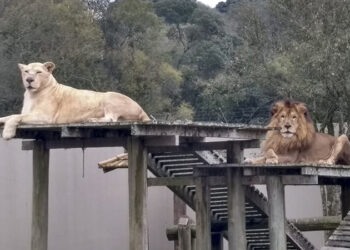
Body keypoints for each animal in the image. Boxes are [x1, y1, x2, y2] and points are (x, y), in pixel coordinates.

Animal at [0, 60, 149, 139]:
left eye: (38, 72)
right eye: (26, 71)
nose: (29, 80)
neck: (32, 94)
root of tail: (142, 110)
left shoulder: (45, 117)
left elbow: (15, 116)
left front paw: (7, 133)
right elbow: (9, 116)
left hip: (109, 96)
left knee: (112, 118)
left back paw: (91, 120)